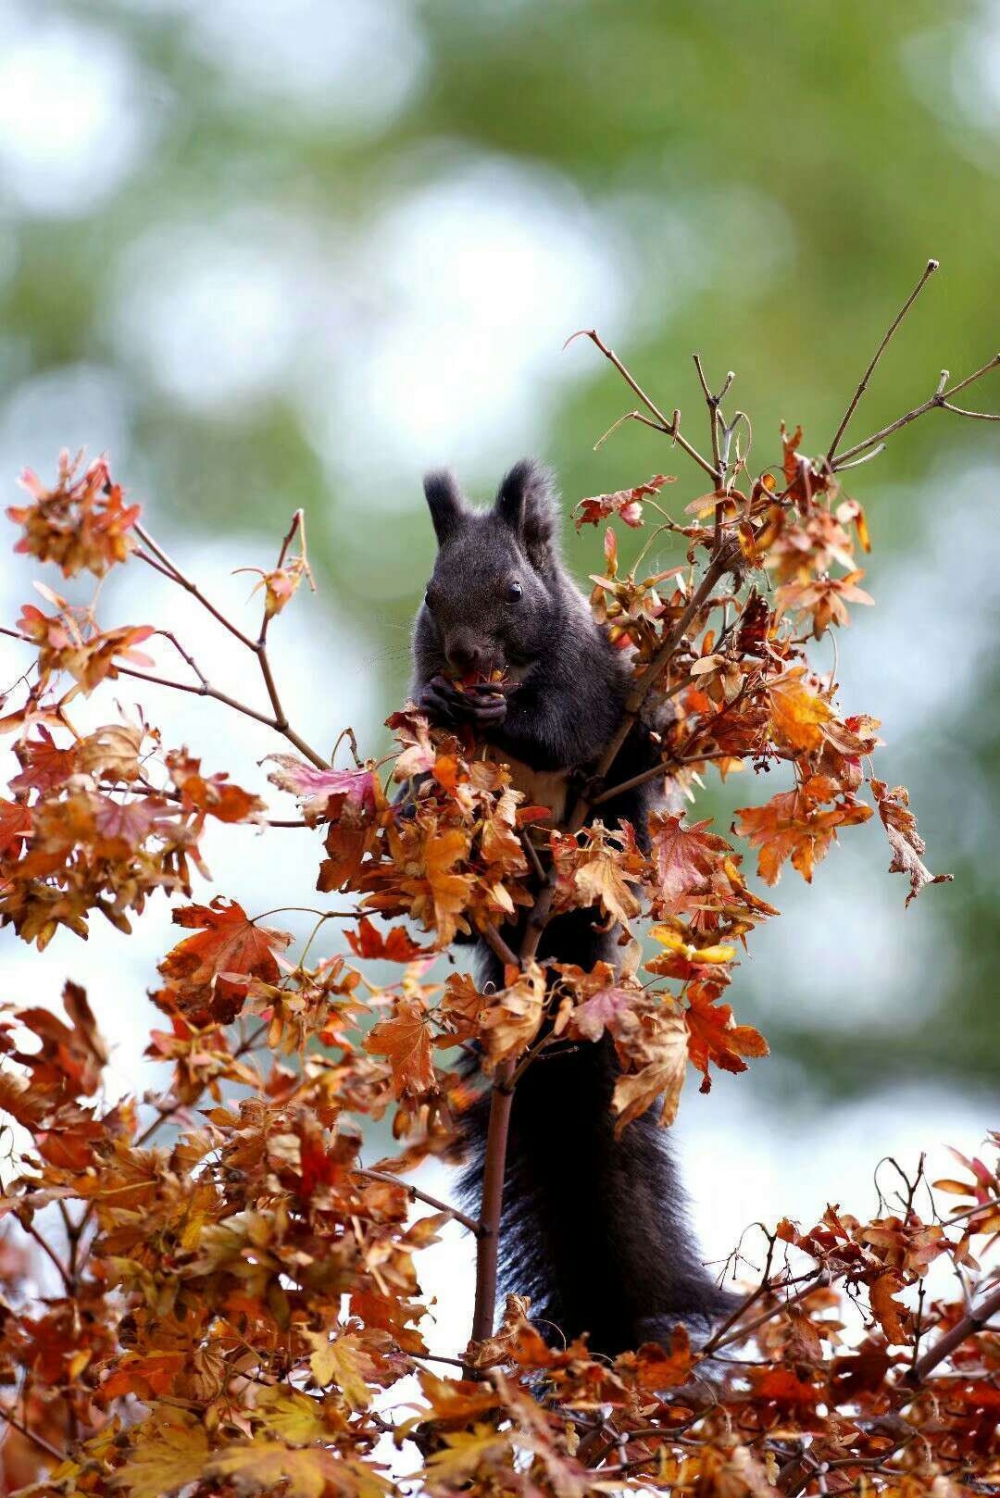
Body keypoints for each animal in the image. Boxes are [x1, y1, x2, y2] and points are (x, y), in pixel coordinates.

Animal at [410, 455, 730, 1360]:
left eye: (515, 591)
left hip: (627, 793)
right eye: (431, 595)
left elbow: (558, 727)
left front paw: (494, 712)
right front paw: (442, 704)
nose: (464, 656)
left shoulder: (586, 688)